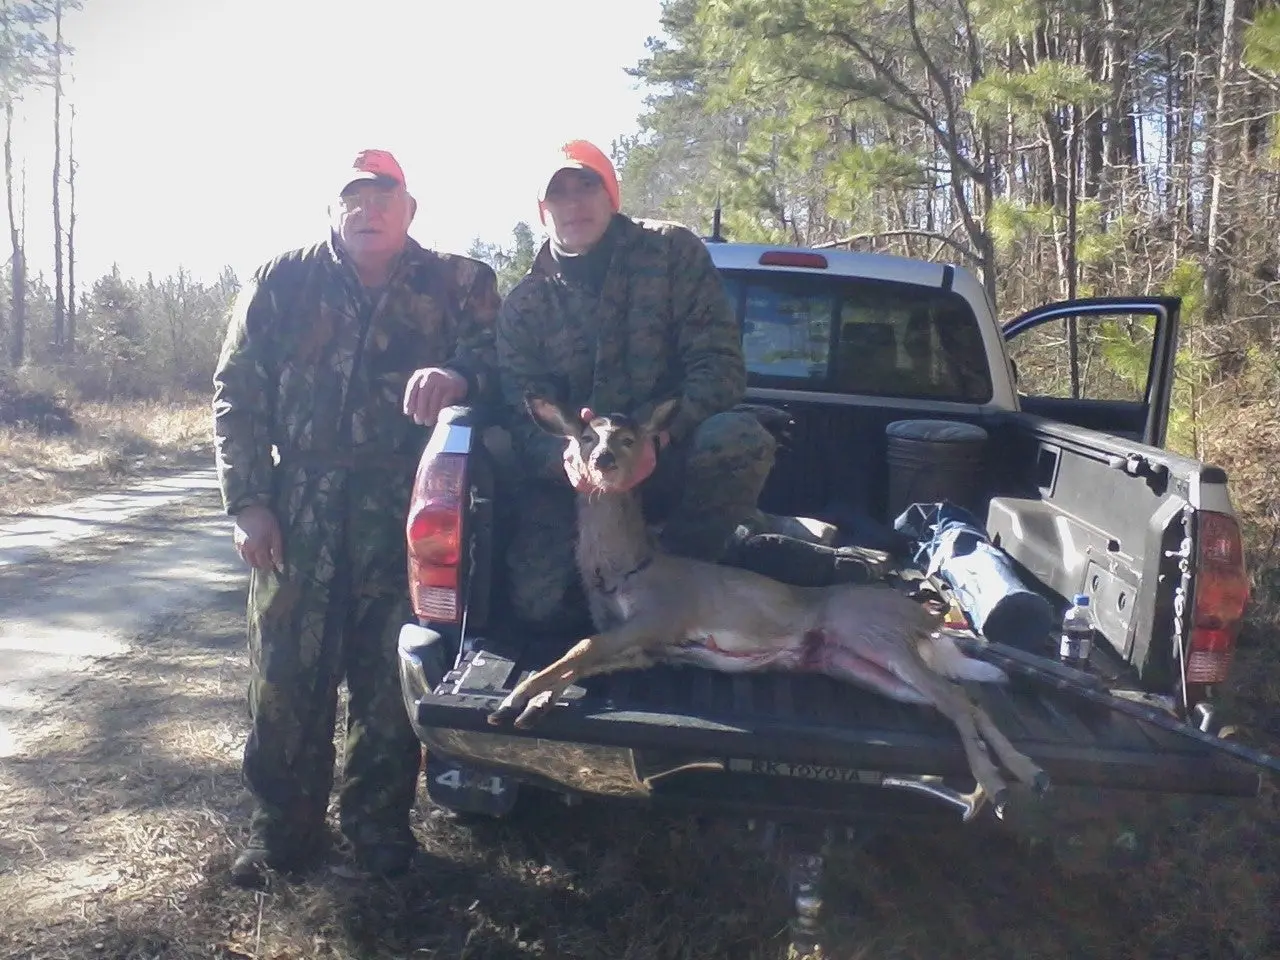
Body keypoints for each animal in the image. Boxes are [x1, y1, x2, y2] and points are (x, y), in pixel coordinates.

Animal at [488, 394, 1049, 814]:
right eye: (586, 436)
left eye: (628, 439)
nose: (602, 459)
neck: (630, 568)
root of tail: (922, 616)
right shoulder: (648, 647)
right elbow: (585, 661)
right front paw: (534, 705)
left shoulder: (659, 617)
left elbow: (580, 647)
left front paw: (513, 699)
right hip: (856, 664)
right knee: (959, 699)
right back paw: (1023, 773)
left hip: (876, 635)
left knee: (954, 697)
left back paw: (1002, 783)